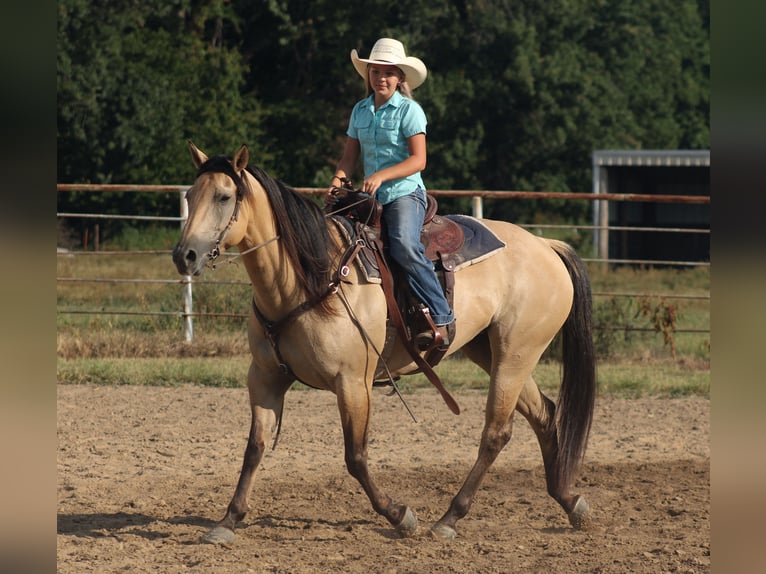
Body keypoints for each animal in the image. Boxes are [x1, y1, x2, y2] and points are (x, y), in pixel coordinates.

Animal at [172, 142, 596, 543]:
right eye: (191, 194)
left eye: (224, 196)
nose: (184, 255)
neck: (307, 279)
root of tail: (545, 245)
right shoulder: (264, 379)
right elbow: (254, 448)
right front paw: (228, 520)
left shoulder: (353, 383)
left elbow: (356, 457)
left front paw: (400, 515)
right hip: (493, 351)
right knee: (544, 414)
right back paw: (570, 501)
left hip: (516, 351)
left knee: (496, 432)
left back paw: (449, 518)